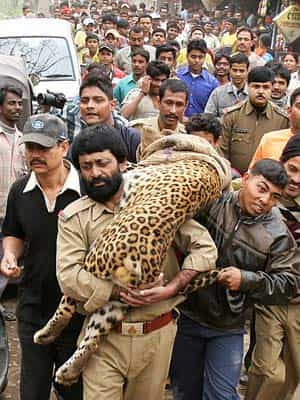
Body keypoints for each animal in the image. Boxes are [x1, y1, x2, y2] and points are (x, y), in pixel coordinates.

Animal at [33, 135, 227, 388]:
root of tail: (138, 260)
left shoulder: (133, 175)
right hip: (117, 303)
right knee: (93, 339)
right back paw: (69, 372)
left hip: (93, 259)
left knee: (68, 303)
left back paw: (46, 334)